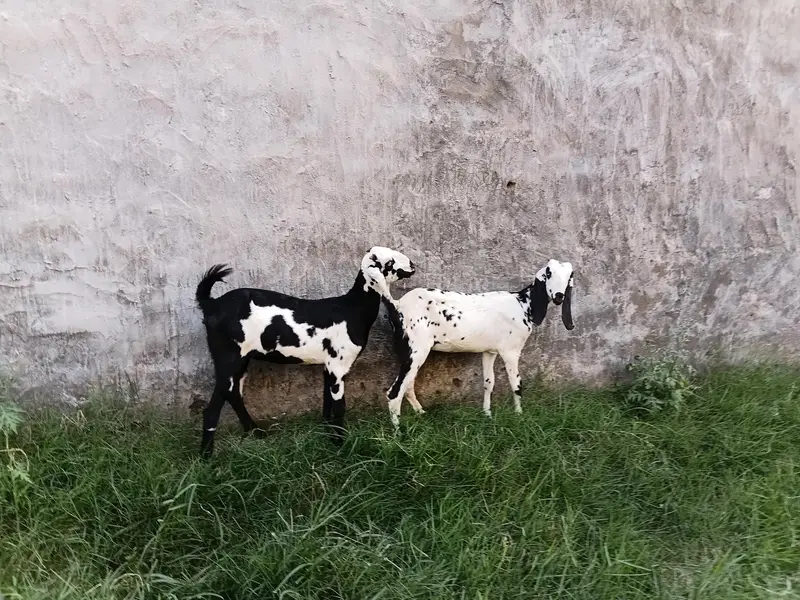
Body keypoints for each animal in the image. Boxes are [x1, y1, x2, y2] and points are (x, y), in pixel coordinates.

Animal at [195, 247, 415, 456]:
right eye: (390, 261)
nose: (412, 265)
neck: (352, 309)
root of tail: (212, 304)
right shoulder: (338, 365)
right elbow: (339, 407)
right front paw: (340, 444)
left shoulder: (328, 365)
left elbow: (327, 403)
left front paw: (328, 435)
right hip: (228, 356)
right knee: (214, 407)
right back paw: (207, 457)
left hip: (241, 359)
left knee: (233, 393)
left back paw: (255, 433)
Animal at [382, 259, 574, 427]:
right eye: (548, 273)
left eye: (569, 276)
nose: (559, 296)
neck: (523, 305)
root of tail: (396, 305)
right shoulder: (511, 351)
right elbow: (516, 384)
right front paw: (519, 416)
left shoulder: (490, 351)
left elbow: (489, 383)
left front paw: (487, 415)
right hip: (416, 350)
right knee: (394, 392)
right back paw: (399, 432)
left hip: (409, 353)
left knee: (407, 386)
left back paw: (422, 414)